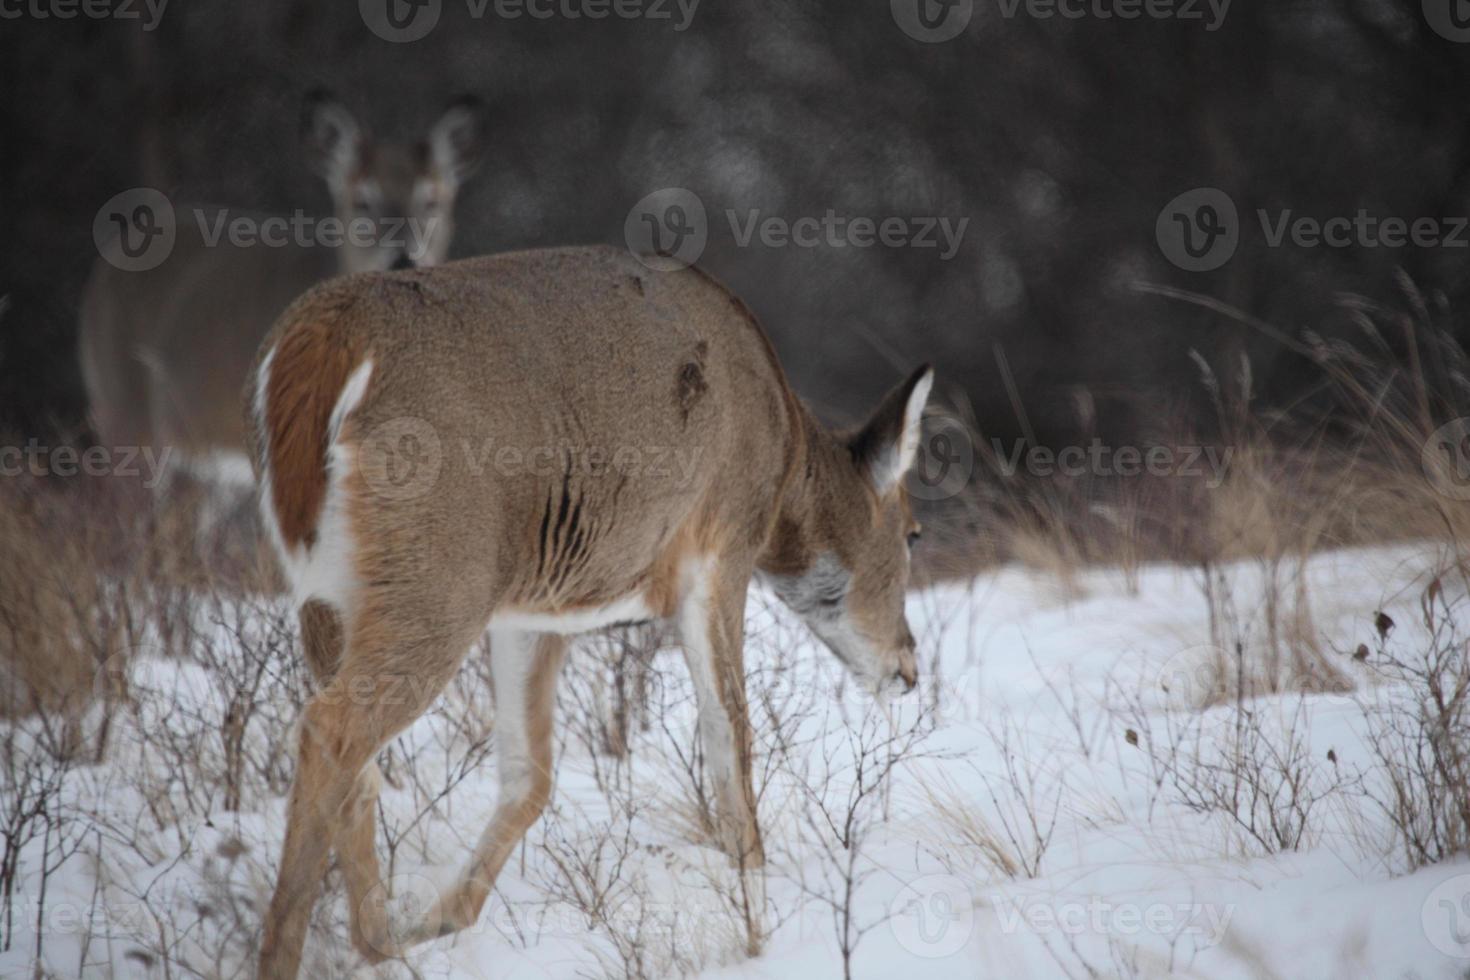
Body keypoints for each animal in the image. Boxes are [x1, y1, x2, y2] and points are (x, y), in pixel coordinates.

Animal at [241, 243, 929, 975]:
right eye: (915, 533)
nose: (910, 667)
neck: (786, 460)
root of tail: (319, 342)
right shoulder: (718, 549)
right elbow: (730, 744)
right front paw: (759, 934)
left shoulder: (535, 606)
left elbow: (531, 776)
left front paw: (443, 919)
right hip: (437, 572)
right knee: (331, 729)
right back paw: (297, 951)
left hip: (327, 593)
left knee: (358, 760)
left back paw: (379, 942)